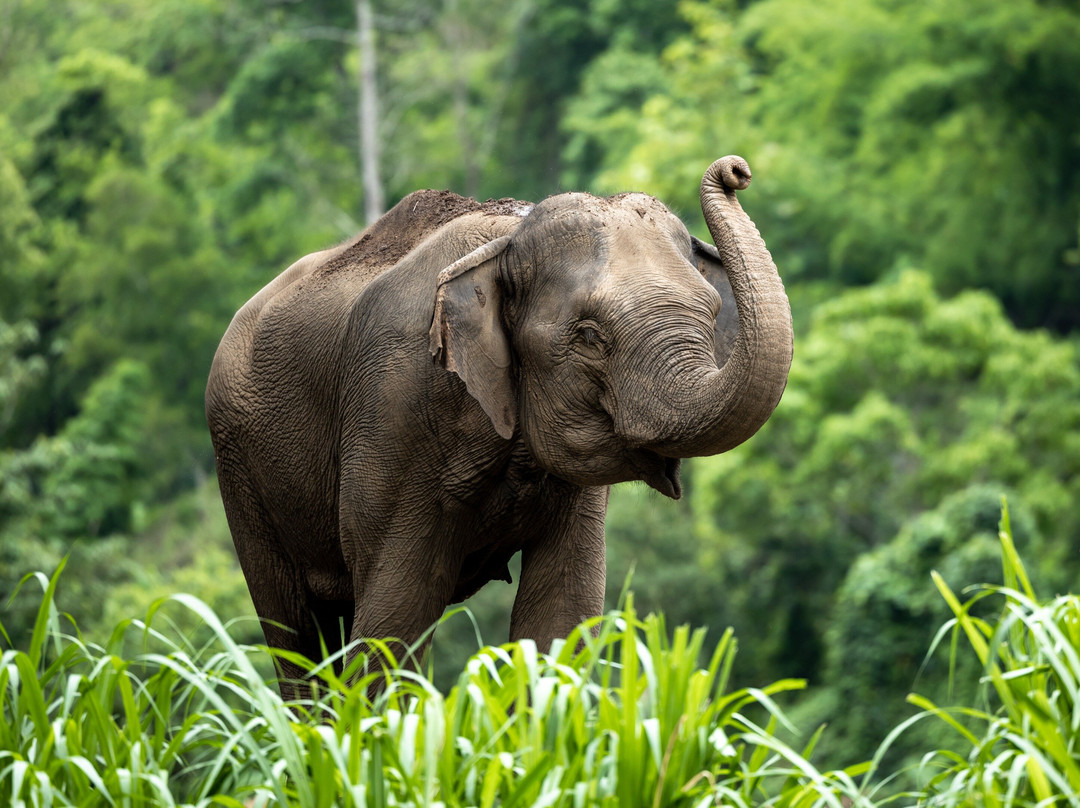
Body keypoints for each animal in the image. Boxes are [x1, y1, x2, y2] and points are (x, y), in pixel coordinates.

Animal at [205, 155, 793, 701]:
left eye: (712, 312)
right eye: (588, 335)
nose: (736, 170)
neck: (509, 238)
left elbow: (562, 611)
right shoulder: (395, 408)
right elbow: (396, 615)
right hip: (239, 465)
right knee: (297, 633)